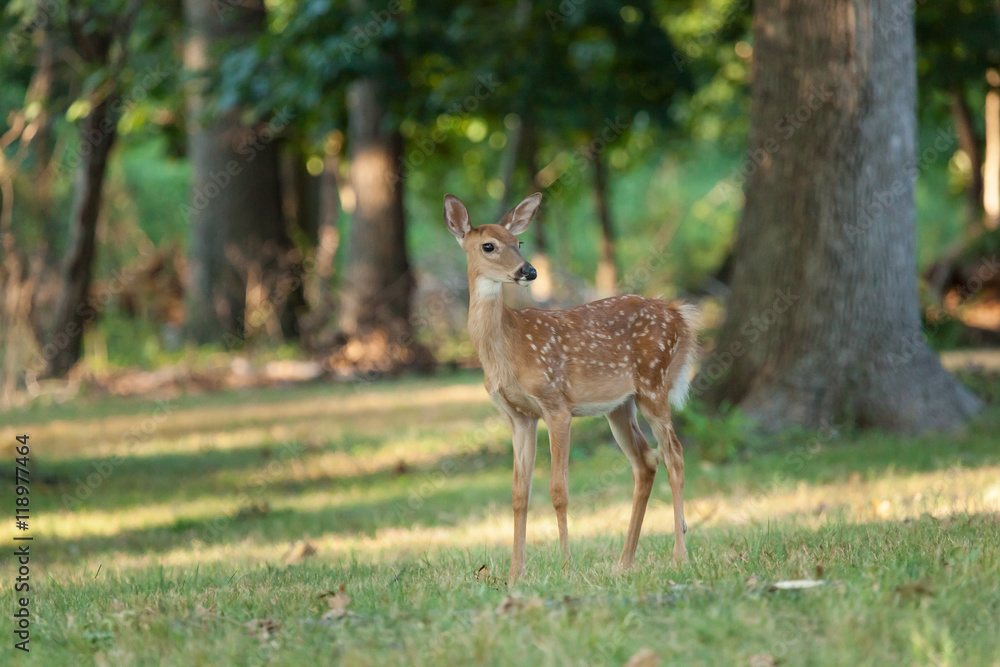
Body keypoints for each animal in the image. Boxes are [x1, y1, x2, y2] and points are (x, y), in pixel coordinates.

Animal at [444, 192, 699, 584]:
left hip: (654, 385)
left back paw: (679, 556)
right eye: (489, 245)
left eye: (519, 242)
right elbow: (519, 493)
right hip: (620, 405)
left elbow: (558, 490)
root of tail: (679, 315)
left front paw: (565, 568)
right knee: (646, 460)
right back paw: (624, 562)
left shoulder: (556, 404)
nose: (529, 271)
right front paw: (515, 574)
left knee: (675, 455)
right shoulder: (518, 416)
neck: (507, 350)